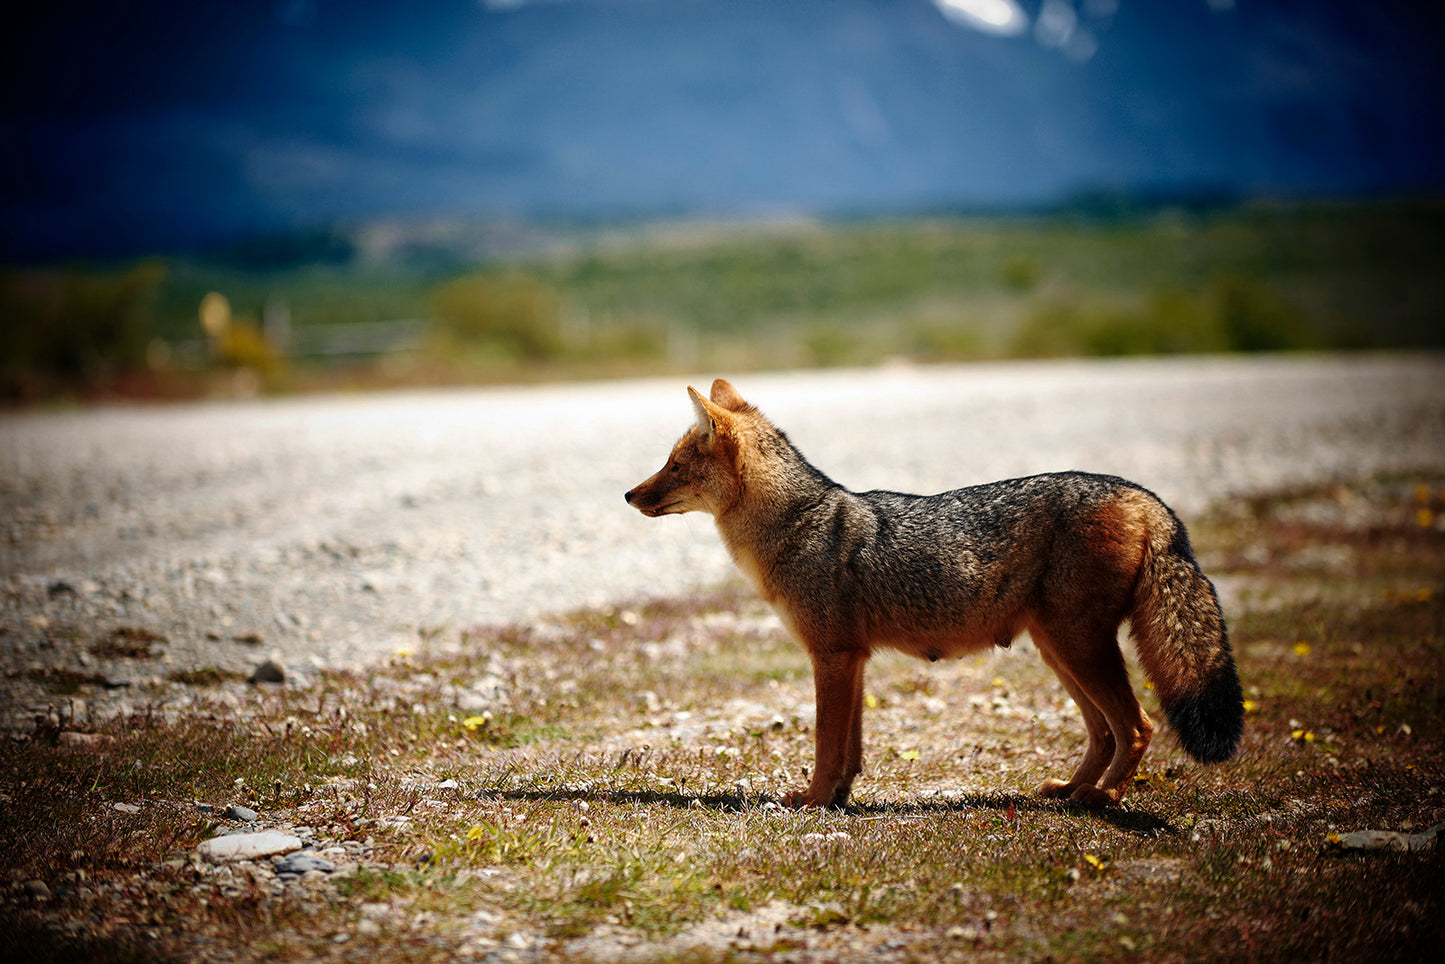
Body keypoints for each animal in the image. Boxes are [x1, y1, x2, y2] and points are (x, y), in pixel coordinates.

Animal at [625, 378, 1243, 809]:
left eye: (674, 466)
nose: (628, 495)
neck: (797, 523)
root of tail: (1142, 496)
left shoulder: (832, 656)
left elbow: (826, 745)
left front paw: (811, 800)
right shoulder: (853, 659)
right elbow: (849, 749)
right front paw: (838, 800)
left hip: (1078, 650)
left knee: (1137, 727)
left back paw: (1103, 798)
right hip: (1060, 652)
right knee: (1105, 733)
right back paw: (1069, 791)